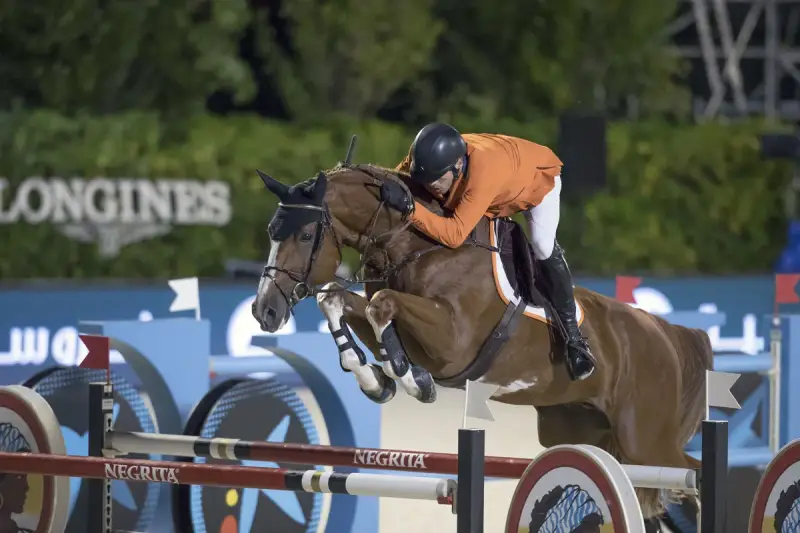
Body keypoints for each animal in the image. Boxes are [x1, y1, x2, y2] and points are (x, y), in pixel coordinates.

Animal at [251, 156, 714, 524]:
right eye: (271, 231)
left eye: (305, 236)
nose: (264, 311)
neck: (417, 246)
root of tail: (666, 333)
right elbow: (336, 300)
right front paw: (375, 380)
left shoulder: (452, 343)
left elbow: (382, 304)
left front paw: (412, 381)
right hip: (585, 433)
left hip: (645, 439)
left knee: (688, 474)